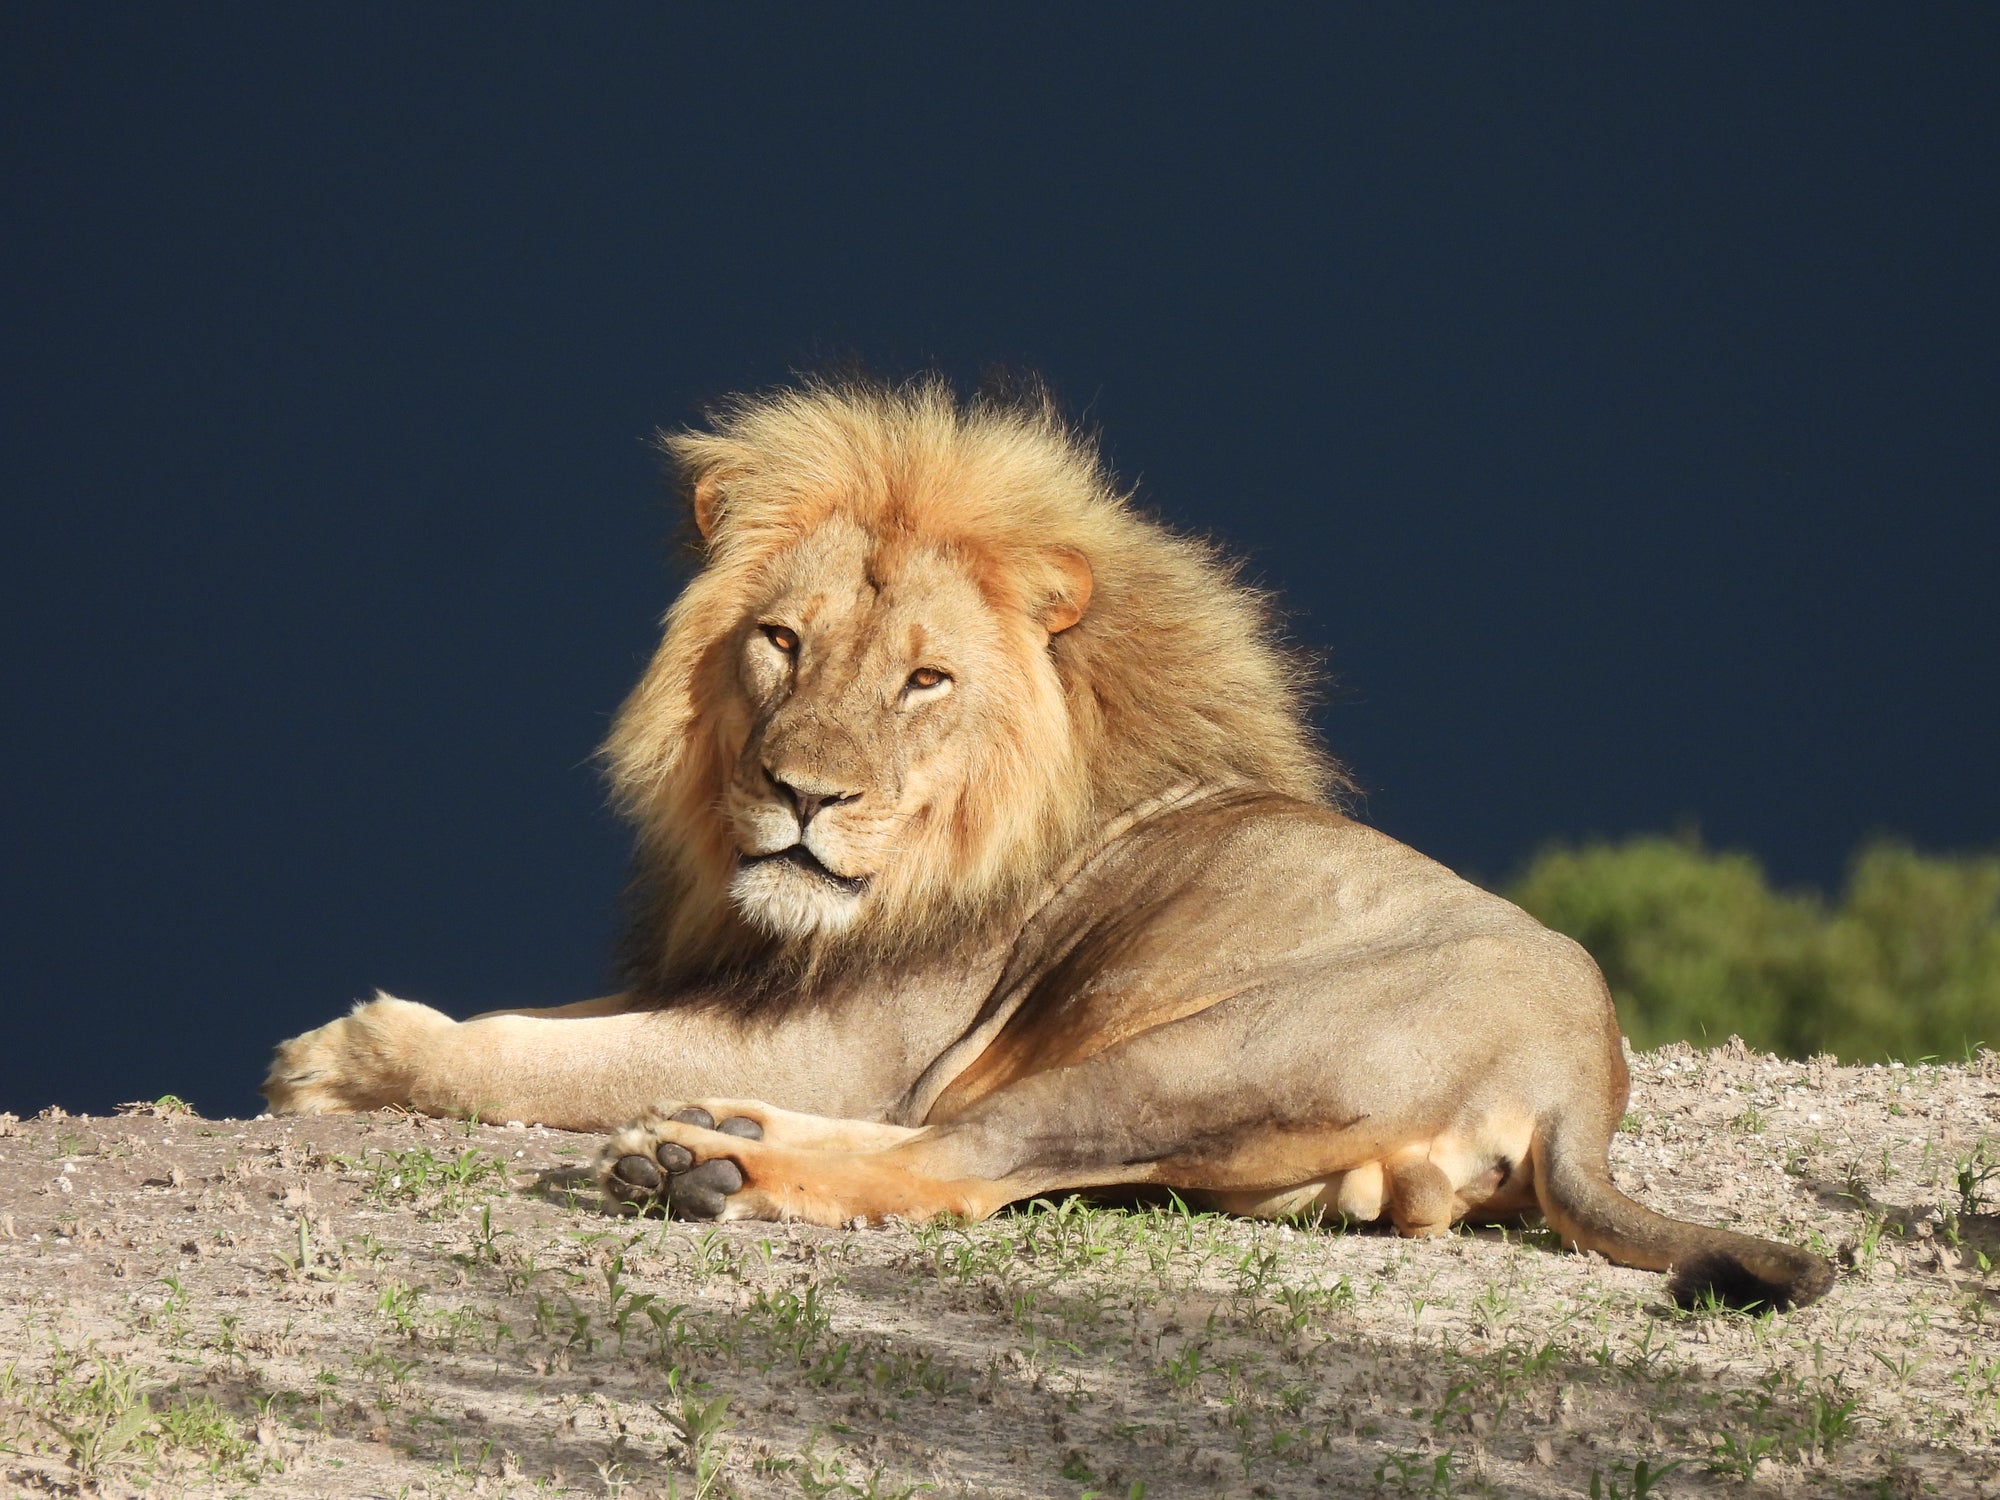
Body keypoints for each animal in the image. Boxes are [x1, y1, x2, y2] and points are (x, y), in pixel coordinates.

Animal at [264, 376, 1833, 1310]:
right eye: (781, 642)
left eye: (924, 679)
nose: (801, 795)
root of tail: (1581, 1085)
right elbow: (564, 1020)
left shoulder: (844, 1038)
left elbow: (537, 1055)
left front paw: (344, 1059)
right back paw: (715, 1137)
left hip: (1187, 1055)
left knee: (957, 1165)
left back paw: (704, 1168)